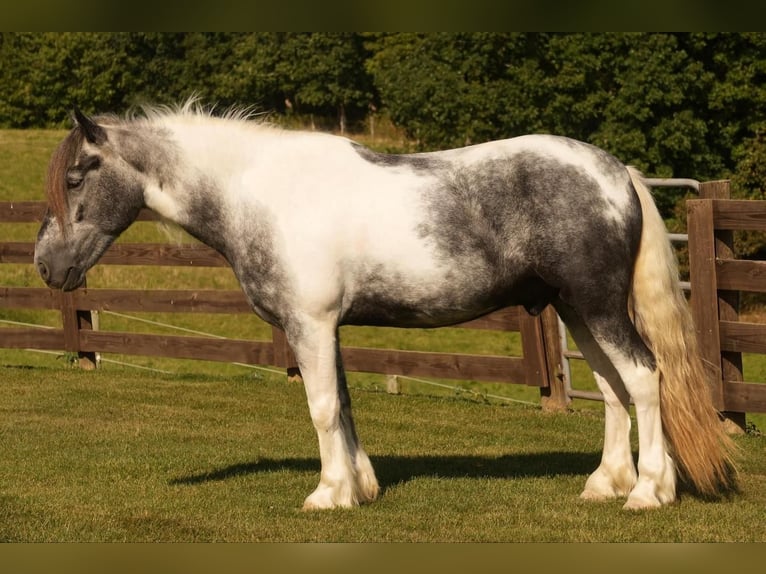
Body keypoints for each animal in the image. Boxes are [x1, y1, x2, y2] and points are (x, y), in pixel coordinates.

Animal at [34, 104, 736, 512]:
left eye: (75, 177)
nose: (46, 265)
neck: (261, 193)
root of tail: (615, 172)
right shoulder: (325, 328)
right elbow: (343, 404)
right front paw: (360, 485)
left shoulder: (310, 324)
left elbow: (321, 408)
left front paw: (328, 494)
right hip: (575, 311)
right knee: (614, 390)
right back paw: (605, 483)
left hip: (597, 307)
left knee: (644, 379)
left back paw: (648, 492)